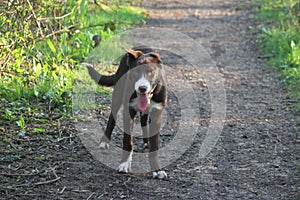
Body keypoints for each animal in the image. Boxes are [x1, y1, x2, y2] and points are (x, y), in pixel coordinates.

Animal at [82, 47, 168, 180]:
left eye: (151, 72)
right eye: (135, 72)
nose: (142, 88)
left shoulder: (157, 114)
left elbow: (155, 146)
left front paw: (157, 170)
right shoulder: (128, 111)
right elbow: (128, 141)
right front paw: (124, 164)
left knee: (143, 120)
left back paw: (146, 142)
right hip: (117, 95)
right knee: (111, 119)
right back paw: (104, 141)